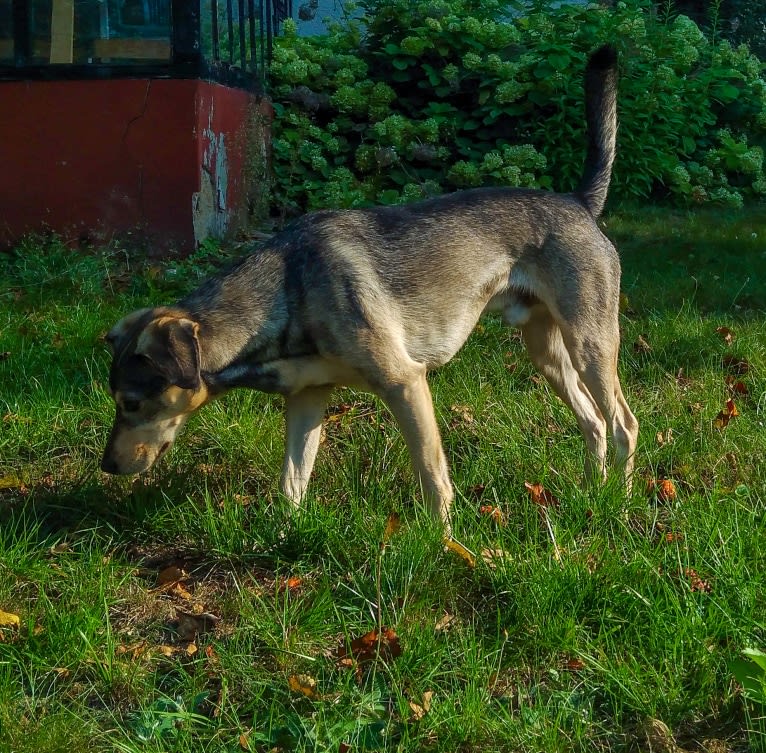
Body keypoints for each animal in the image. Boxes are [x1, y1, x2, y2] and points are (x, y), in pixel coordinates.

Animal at [103, 44, 640, 536]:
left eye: (131, 403)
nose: (106, 466)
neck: (287, 292)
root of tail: (577, 202)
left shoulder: (405, 383)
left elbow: (432, 476)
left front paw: (443, 541)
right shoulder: (307, 398)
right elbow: (292, 480)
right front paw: (284, 533)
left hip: (590, 344)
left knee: (622, 424)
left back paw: (619, 501)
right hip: (546, 352)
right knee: (592, 421)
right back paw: (592, 490)